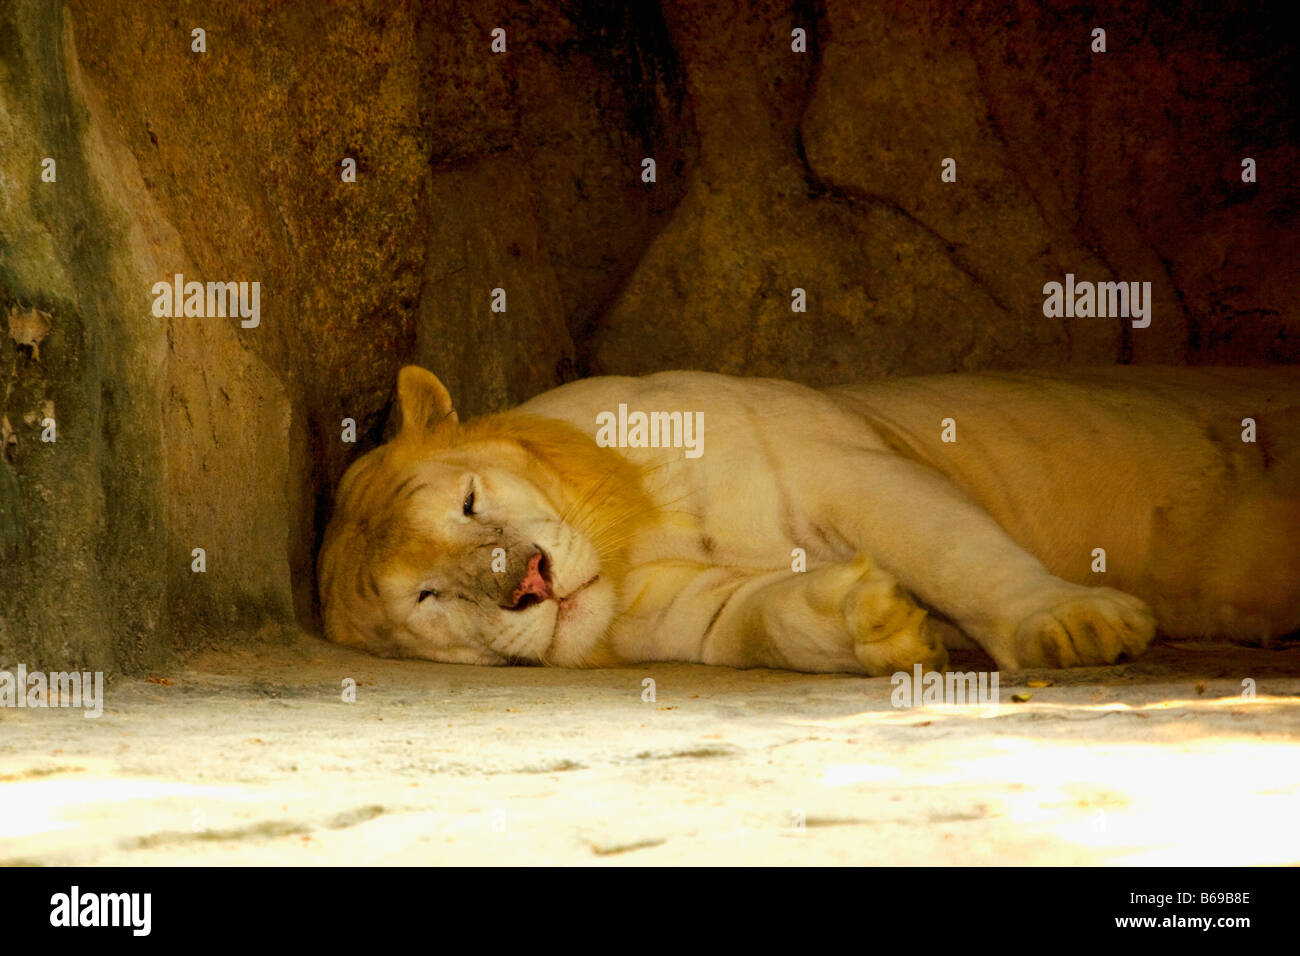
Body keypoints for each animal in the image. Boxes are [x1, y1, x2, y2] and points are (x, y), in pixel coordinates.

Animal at [317, 364, 1300, 671]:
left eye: (470, 501)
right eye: (429, 600)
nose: (528, 585)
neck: (630, 546)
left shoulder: (850, 468)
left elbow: (959, 556)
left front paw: (1072, 625)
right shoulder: (683, 611)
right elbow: (761, 621)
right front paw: (874, 623)